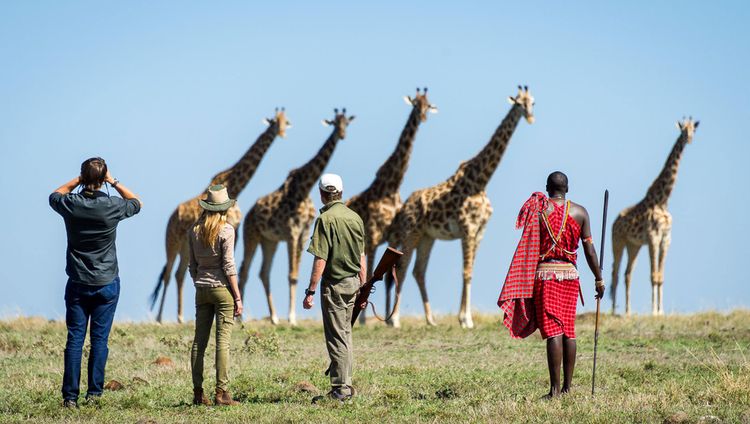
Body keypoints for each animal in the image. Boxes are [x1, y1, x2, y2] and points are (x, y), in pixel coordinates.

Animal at [151, 108, 290, 322]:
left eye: (287, 122)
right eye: (276, 122)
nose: (282, 133)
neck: (235, 185)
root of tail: (171, 218)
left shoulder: (235, 228)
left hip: (185, 245)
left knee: (179, 274)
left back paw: (180, 317)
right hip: (171, 240)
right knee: (167, 273)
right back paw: (159, 318)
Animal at [241, 107, 358, 322]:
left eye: (347, 123)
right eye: (335, 123)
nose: (342, 135)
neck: (305, 188)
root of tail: (249, 214)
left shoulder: (304, 234)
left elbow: (295, 275)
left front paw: (290, 316)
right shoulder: (292, 233)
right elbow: (292, 275)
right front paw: (292, 317)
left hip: (269, 240)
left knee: (263, 273)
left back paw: (274, 318)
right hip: (251, 234)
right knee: (244, 270)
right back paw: (240, 318)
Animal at [348, 88, 438, 322]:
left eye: (428, 105)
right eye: (415, 104)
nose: (422, 117)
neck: (391, 186)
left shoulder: (394, 236)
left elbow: (390, 277)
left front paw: (391, 319)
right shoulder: (373, 237)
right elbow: (373, 272)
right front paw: (365, 318)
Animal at [384, 84, 536, 328]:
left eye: (532, 102)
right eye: (519, 103)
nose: (530, 117)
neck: (480, 181)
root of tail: (403, 208)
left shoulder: (480, 231)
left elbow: (470, 271)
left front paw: (463, 317)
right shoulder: (468, 229)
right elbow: (466, 272)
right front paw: (466, 319)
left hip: (427, 237)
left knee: (418, 271)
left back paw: (430, 319)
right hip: (411, 233)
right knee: (403, 268)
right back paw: (394, 320)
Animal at [612, 117, 700, 316]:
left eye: (693, 130)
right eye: (683, 130)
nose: (689, 139)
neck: (663, 200)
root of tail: (615, 220)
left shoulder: (666, 239)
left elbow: (660, 276)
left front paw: (661, 311)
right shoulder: (654, 237)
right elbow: (653, 276)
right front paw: (654, 311)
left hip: (634, 245)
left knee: (627, 274)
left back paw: (628, 311)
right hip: (618, 242)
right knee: (615, 273)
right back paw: (614, 311)